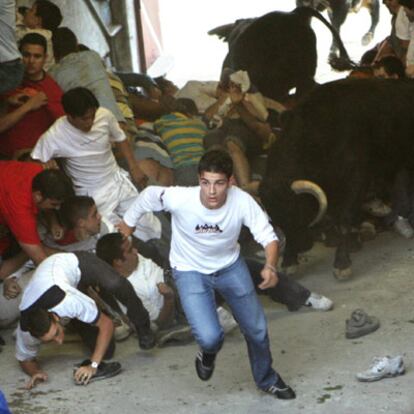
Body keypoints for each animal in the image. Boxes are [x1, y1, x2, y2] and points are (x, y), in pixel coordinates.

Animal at [260, 78, 414, 278]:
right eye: (276, 218)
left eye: (298, 211)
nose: (302, 246)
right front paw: (289, 262)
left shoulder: (355, 181)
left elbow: (344, 220)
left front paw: (342, 263)